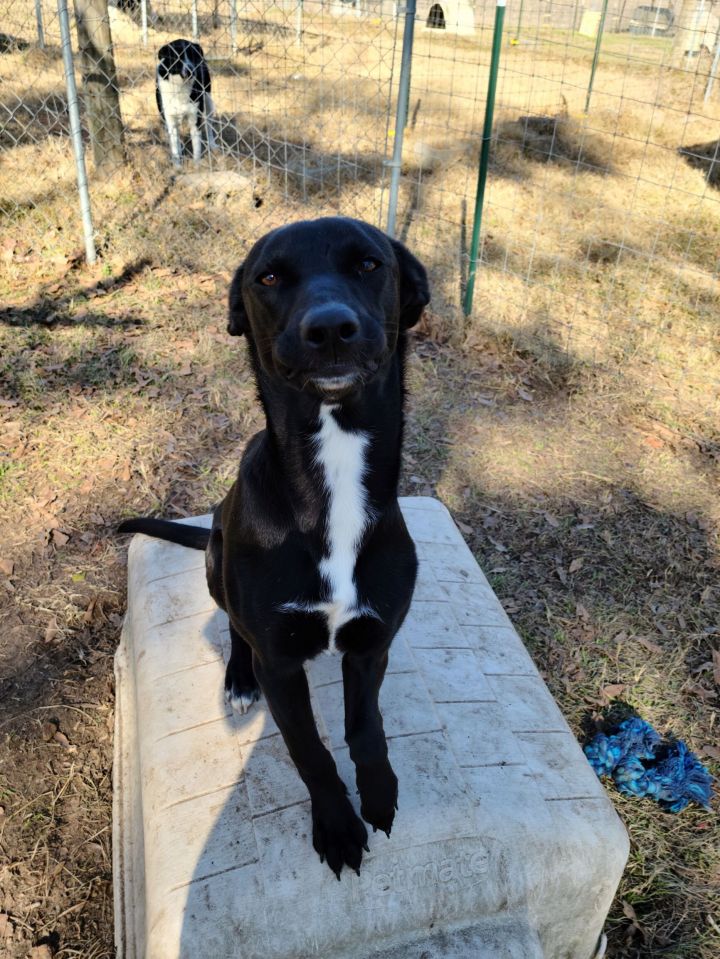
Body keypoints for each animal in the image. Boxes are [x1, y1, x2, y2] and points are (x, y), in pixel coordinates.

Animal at [121, 218, 430, 876]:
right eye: (268, 278)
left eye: (370, 264)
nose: (330, 328)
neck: (333, 474)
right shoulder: (281, 664)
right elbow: (309, 749)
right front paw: (337, 824)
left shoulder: (372, 646)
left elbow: (366, 728)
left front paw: (379, 791)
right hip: (216, 558)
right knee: (234, 628)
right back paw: (238, 682)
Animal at [156, 39, 215, 167]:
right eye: (177, 56)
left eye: (193, 55)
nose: (191, 70)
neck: (180, 86)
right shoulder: (170, 120)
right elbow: (175, 148)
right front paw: (177, 167)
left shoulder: (195, 120)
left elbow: (196, 148)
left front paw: (197, 167)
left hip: (208, 101)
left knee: (209, 123)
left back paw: (213, 145)